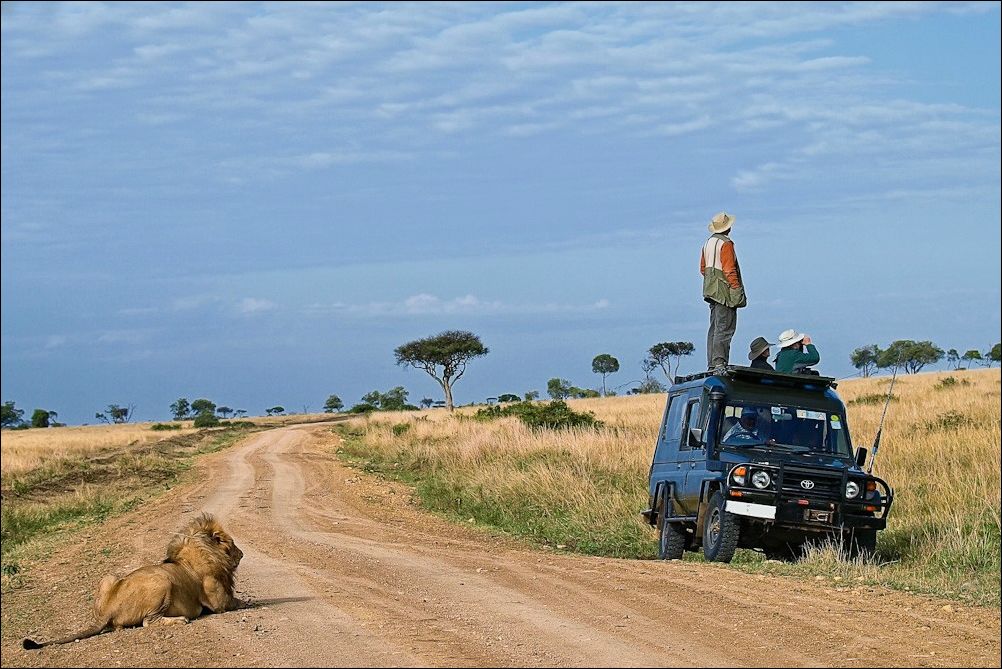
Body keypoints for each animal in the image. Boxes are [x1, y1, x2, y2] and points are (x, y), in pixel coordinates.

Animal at [23, 512, 242, 648]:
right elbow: (238, 602)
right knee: (148, 622)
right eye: (232, 544)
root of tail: (108, 610)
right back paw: (180, 619)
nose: (242, 554)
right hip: (162, 581)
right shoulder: (218, 601)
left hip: (109, 577)